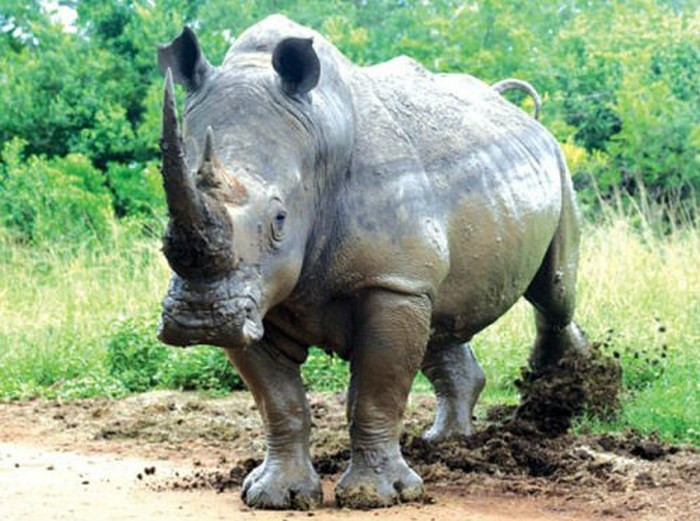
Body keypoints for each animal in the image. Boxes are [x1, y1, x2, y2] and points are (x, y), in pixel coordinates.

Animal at [156, 15, 588, 510]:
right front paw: (276, 496)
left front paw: (377, 496)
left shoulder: (390, 281)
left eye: (280, 219)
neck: (318, 138)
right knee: (442, 316)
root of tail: (520, 115)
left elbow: (376, 391)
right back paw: (447, 444)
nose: (200, 318)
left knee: (554, 293)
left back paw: (563, 392)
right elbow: (279, 401)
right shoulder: (254, 293)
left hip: (556, 166)